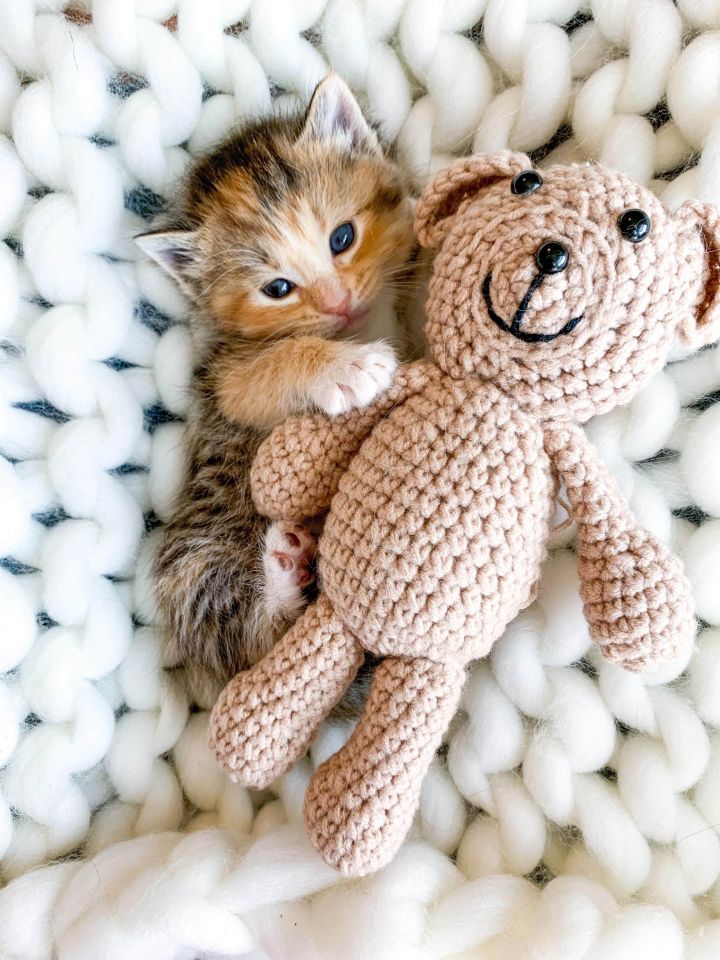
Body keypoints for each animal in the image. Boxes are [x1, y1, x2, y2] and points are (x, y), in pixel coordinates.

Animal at [137, 75, 414, 708]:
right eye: (278, 288)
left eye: (343, 237)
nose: (338, 302)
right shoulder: (226, 380)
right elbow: (275, 365)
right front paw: (347, 370)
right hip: (197, 566)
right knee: (258, 645)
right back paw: (286, 574)